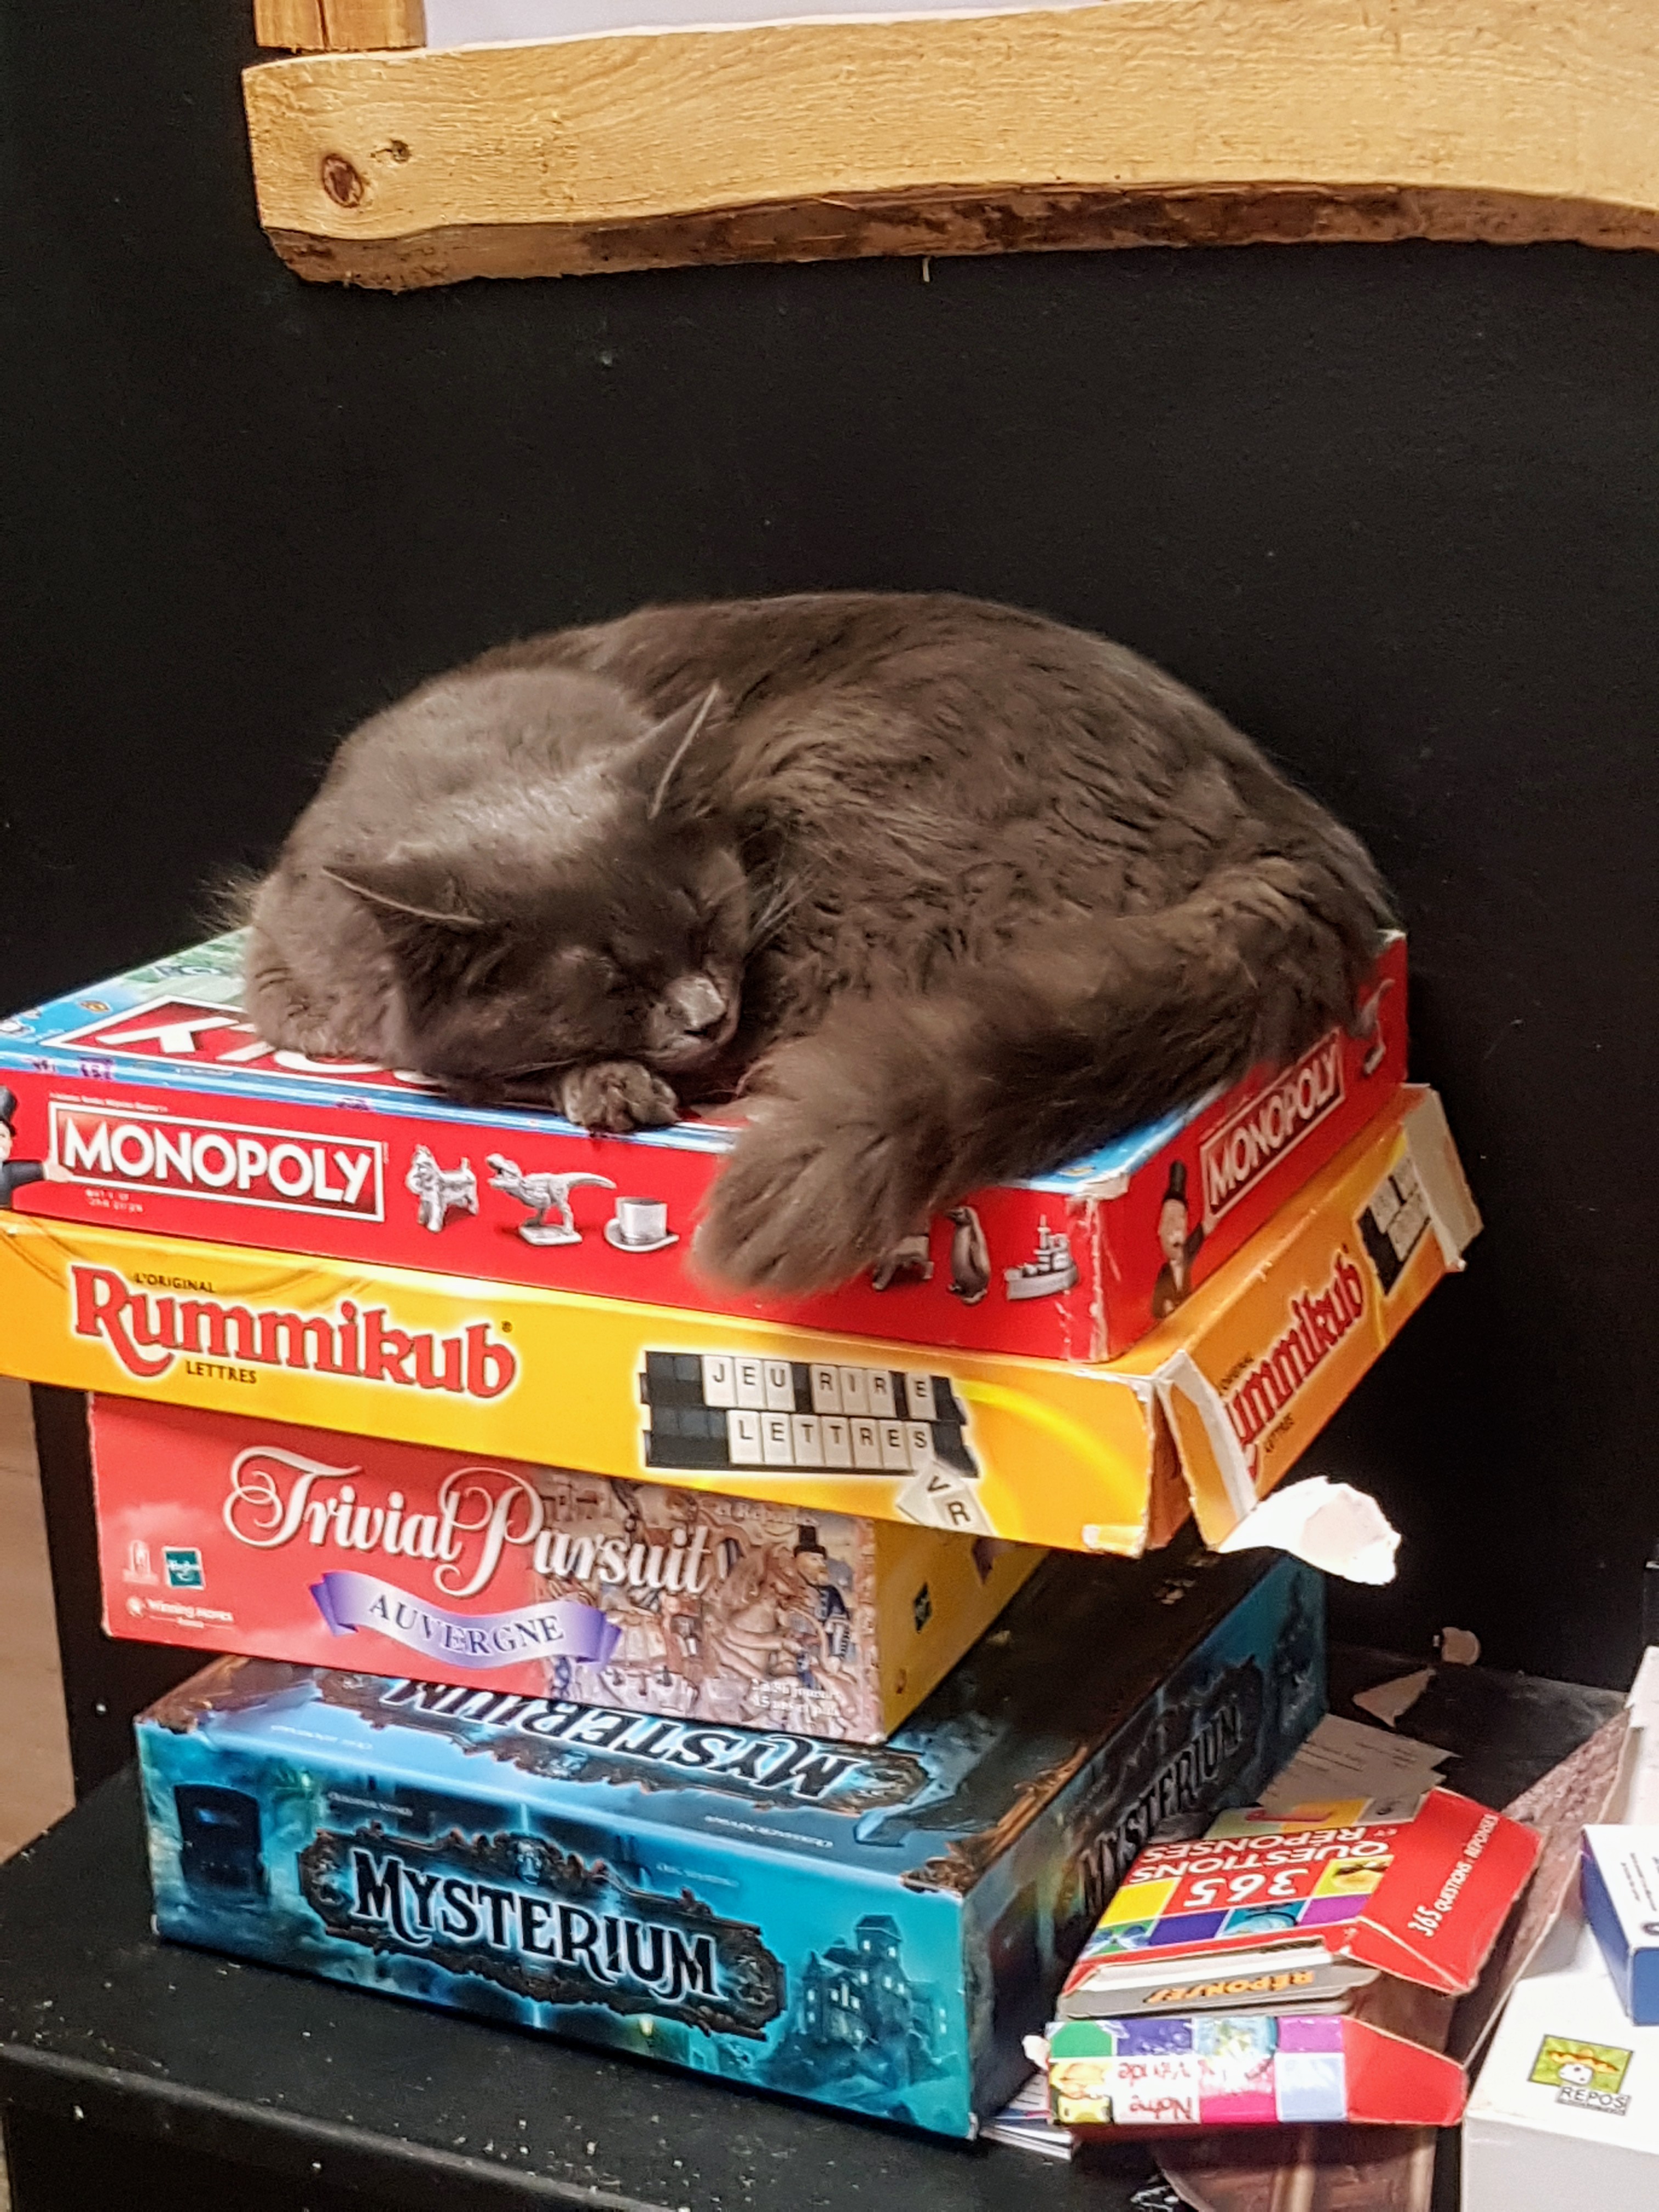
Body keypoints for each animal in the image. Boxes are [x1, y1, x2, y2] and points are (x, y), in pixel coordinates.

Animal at [243, 592, 1390, 1294]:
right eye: (612, 979)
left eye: (709, 923)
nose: (705, 1011)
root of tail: (1272, 823)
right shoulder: (283, 982)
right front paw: (604, 1078)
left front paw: (611, 1087)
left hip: (835, 791)